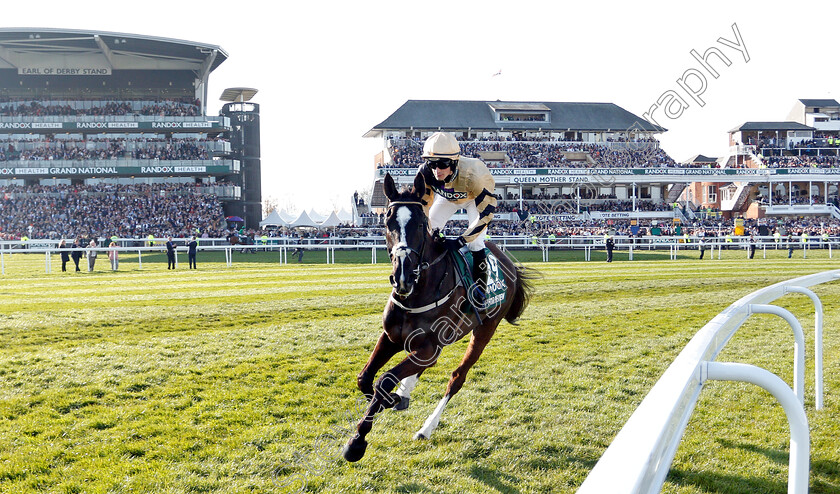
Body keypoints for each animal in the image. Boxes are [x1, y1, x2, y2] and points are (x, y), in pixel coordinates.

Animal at [342, 173, 536, 464]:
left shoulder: (428, 347)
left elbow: (384, 379)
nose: (402, 276)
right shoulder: (391, 337)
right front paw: (393, 399)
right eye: (387, 222)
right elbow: (365, 378)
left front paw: (356, 442)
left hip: (484, 330)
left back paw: (426, 428)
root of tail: (509, 264)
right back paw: (405, 392)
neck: (417, 291)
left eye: (421, 224)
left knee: (456, 378)